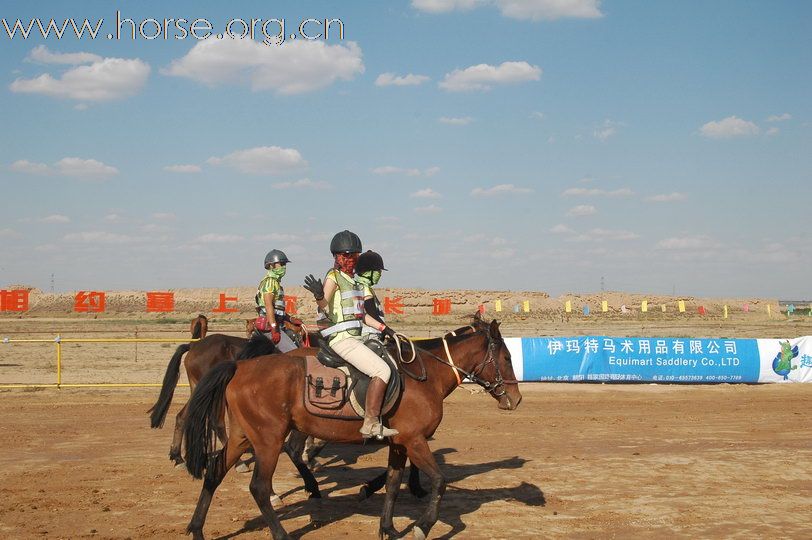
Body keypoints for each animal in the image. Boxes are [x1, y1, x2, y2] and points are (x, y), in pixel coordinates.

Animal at [182, 318, 520, 536]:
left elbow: (393, 483)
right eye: (506, 357)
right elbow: (439, 481)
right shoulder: (415, 440)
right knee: (260, 488)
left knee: (214, 473)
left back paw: (197, 529)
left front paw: (388, 528)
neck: (426, 377)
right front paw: (423, 527)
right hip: (268, 440)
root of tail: (240, 366)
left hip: (243, 437)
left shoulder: (400, 443)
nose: (515, 399)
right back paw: (282, 529)